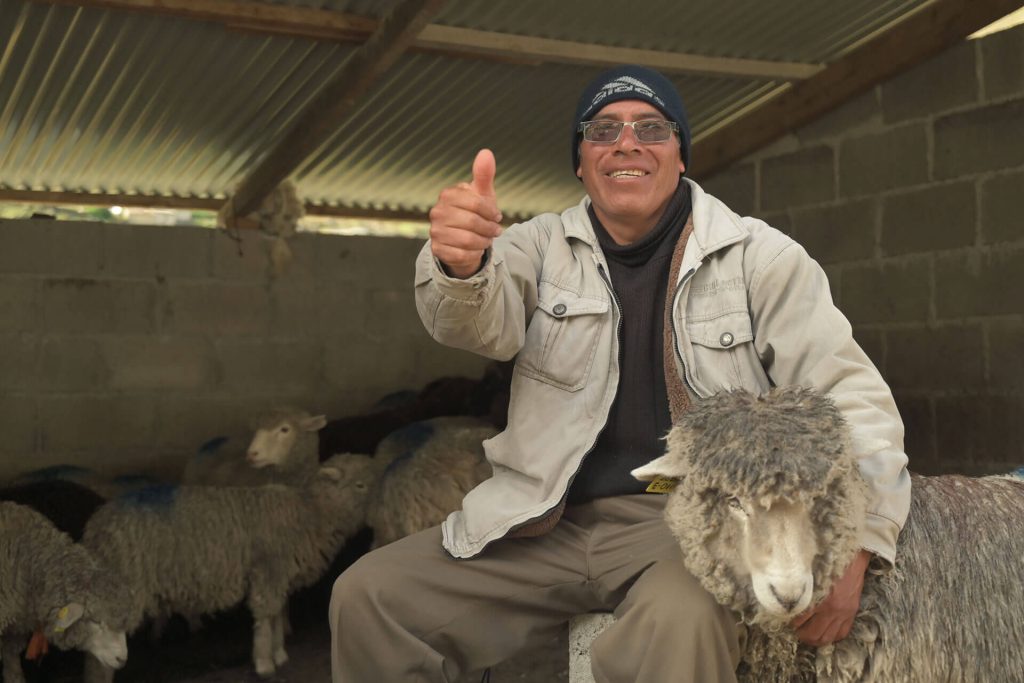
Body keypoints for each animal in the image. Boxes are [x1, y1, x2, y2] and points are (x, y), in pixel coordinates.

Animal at [82, 453, 376, 681]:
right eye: (360, 484)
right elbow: (266, 616)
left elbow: (276, 613)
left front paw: (279, 653)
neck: (310, 513)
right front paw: (264, 663)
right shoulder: (267, 570)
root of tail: (96, 526)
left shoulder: (276, 574)